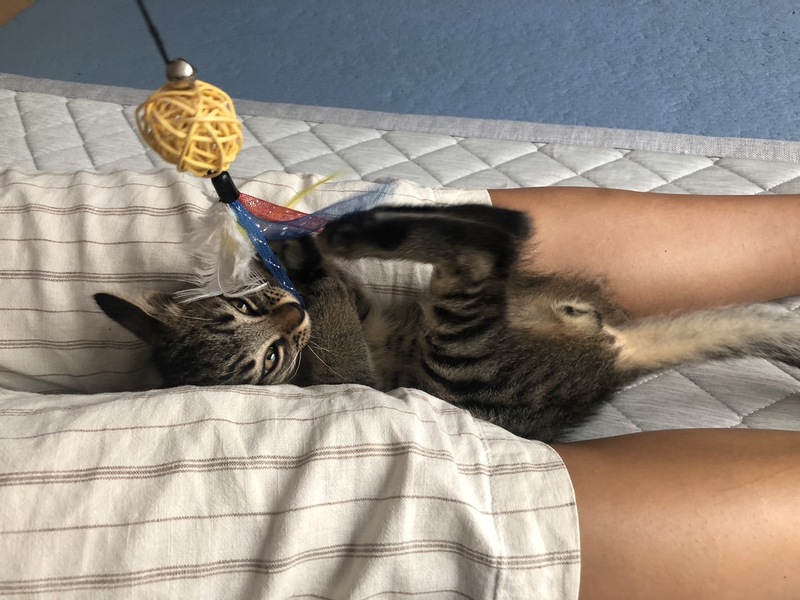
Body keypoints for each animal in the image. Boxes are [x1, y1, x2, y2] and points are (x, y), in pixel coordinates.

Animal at [95, 204, 800, 441]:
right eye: (269, 362)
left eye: (243, 307)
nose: (290, 311)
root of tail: (610, 360)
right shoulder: (352, 369)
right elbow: (337, 313)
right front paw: (311, 264)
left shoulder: (360, 308)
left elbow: (346, 291)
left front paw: (288, 247)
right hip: (460, 348)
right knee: (480, 255)